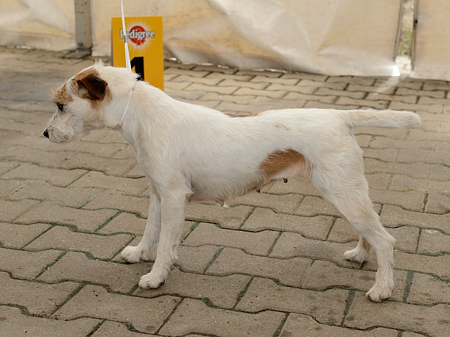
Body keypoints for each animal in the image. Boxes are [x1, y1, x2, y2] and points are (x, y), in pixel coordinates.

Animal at [44, 63, 420, 302]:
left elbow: (166, 243)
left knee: (385, 240)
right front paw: (138, 254)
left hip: (343, 193)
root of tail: (339, 116)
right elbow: (151, 231)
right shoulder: (158, 194)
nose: (45, 134)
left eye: (61, 105)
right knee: (370, 231)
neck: (140, 114)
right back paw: (359, 255)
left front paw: (156, 277)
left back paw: (382, 289)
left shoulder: (174, 197)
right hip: (348, 194)